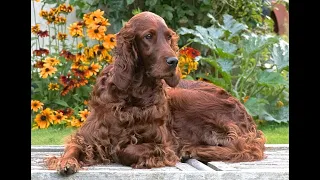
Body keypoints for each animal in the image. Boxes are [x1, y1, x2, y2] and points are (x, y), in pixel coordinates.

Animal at [45, 10, 264, 174]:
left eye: (168, 37)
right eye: (148, 36)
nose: (174, 61)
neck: (132, 93)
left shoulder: (163, 143)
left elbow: (126, 150)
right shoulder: (91, 135)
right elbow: (74, 146)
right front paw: (66, 162)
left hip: (183, 97)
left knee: (243, 147)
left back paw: (190, 150)